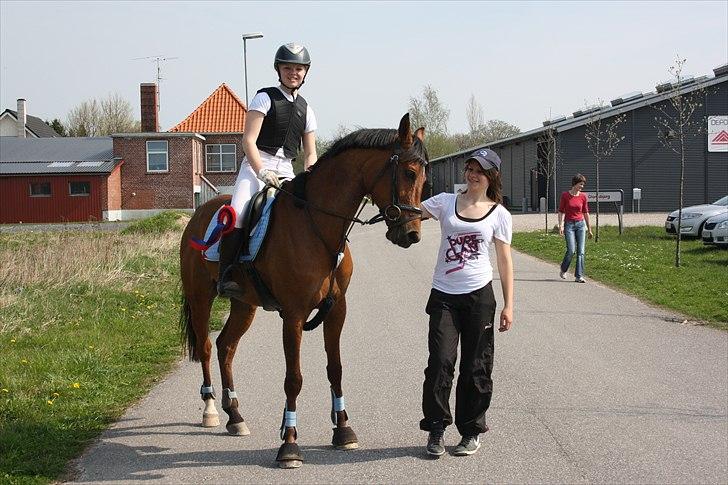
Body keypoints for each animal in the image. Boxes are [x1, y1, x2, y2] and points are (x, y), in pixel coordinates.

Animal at [178, 111, 426, 466]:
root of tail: (199, 213)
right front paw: (289, 443)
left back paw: (235, 416)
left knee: (226, 346)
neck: (318, 226)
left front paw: (343, 430)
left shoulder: (337, 309)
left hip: (244, 305)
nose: (411, 234)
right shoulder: (294, 314)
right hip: (201, 298)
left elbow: (335, 369)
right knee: (207, 347)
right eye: (408, 172)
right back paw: (211, 410)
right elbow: (293, 379)